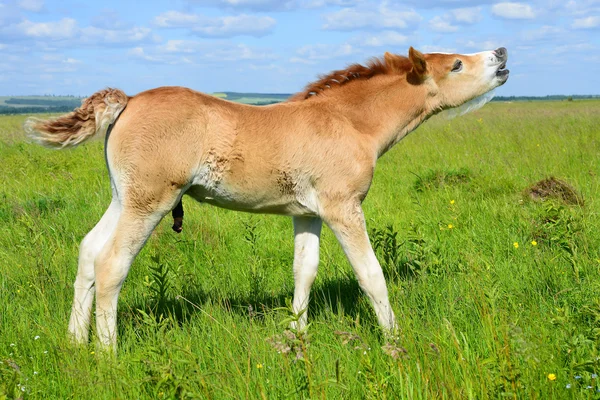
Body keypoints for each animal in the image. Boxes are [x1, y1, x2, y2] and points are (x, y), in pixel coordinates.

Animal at [25, 46, 508, 350]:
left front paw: (297, 339)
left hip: (123, 199)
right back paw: (107, 354)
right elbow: (371, 275)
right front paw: (394, 343)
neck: (348, 122)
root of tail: (127, 101)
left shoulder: (308, 214)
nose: (502, 54)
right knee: (111, 264)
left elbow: (304, 272)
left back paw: (74, 343)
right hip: (150, 202)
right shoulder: (343, 208)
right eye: (457, 65)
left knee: (89, 252)